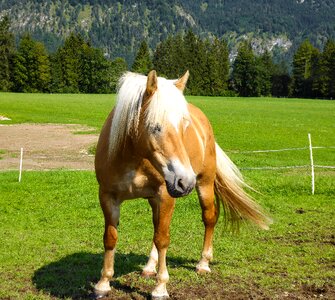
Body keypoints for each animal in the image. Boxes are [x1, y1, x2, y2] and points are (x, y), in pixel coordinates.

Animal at [94, 69, 270, 298]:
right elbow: (110, 238)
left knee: (208, 218)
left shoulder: (166, 194)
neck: (134, 157)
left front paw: (160, 287)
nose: (185, 181)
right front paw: (103, 284)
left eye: (184, 126)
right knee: (156, 225)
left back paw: (203, 263)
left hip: (204, 184)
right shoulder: (108, 197)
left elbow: (163, 239)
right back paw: (149, 267)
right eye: (156, 127)